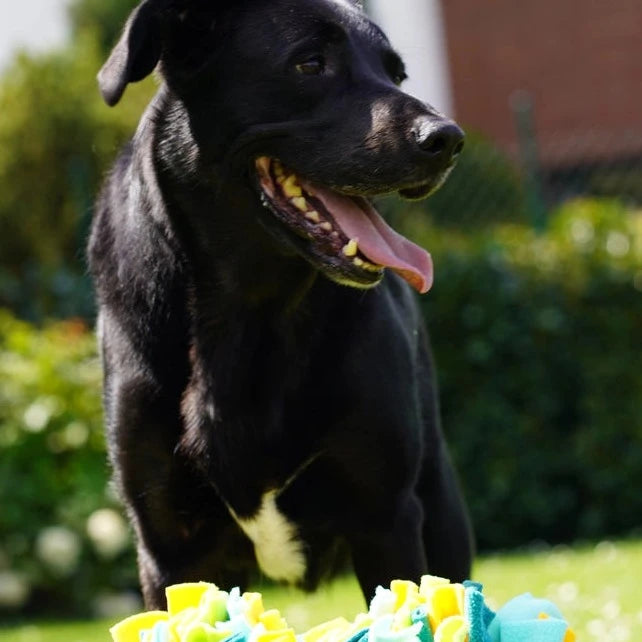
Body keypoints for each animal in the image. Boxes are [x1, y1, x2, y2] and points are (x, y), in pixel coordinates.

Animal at [89, 0, 470, 608]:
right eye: (310, 63)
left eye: (396, 74)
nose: (449, 139)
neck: (252, 311)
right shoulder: (169, 548)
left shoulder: (386, 517)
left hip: (442, 511)